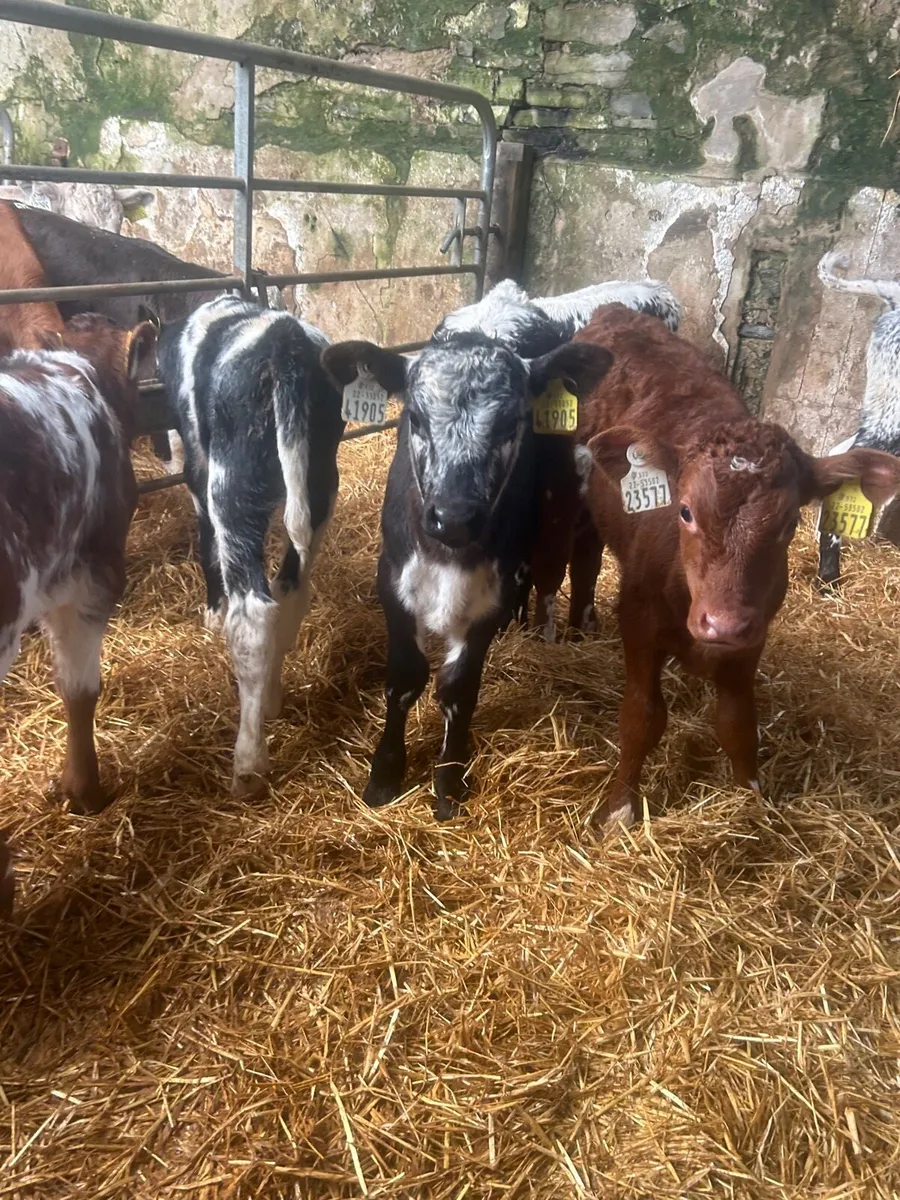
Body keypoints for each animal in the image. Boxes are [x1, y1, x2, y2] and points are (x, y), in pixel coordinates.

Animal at [156, 295, 345, 796]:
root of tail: (286, 342)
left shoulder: (198, 467)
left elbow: (205, 541)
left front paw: (210, 612)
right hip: (319, 482)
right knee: (290, 591)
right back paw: (272, 701)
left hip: (232, 486)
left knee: (254, 612)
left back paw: (248, 762)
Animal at [322, 330, 612, 820]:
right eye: (415, 418)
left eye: (512, 423)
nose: (455, 518)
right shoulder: (393, 583)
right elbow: (405, 678)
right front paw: (385, 775)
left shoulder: (490, 599)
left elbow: (459, 688)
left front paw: (449, 781)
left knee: (579, 568)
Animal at [566, 305, 900, 830]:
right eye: (684, 511)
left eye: (790, 522)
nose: (721, 623)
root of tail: (616, 311)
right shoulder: (638, 620)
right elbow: (641, 717)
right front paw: (620, 808)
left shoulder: (753, 634)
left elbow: (738, 724)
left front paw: (752, 801)